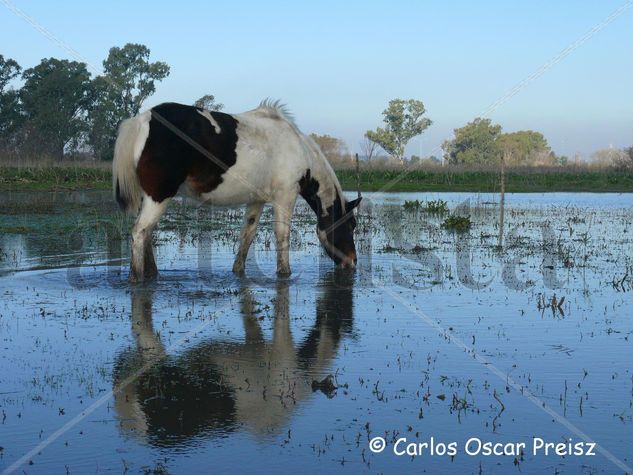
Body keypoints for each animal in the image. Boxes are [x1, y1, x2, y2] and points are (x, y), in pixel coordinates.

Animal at [113, 99, 360, 280]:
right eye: (351, 224)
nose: (352, 261)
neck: (298, 148)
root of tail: (142, 121)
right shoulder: (285, 197)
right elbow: (282, 235)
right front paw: (284, 273)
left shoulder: (257, 200)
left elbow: (247, 235)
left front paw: (238, 271)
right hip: (159, 196)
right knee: (139, 232)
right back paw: (136, 278)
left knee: (146, 234)